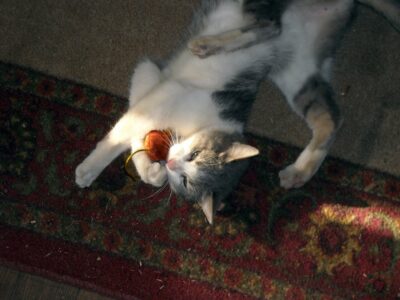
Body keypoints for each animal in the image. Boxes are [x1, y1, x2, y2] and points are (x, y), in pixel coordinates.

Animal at [76, 0, 400, 223]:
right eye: (194, 155)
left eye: (187, 181)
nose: (169, 162)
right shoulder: (156, 80)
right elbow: (128, 124)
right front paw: (96, 166)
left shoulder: (162, 87)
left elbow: (132, 126)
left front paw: (144, 172)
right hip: (294, 67)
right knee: (274, 30)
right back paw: (208, 45)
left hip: (297, 72)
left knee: (328, 113)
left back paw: (298, 171)